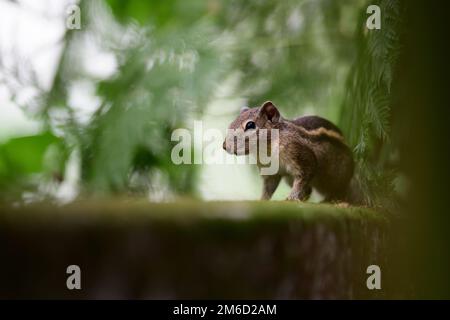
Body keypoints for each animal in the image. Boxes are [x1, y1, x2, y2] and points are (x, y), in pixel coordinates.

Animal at [223, 100, 356, 202]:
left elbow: (304, 176)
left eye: (250, 125)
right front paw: (261, 200)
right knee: (309, 190)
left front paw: (291, 198)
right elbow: (268, 188)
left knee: (339, 189)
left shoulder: (300, 154)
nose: (224, 145)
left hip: (338, 174)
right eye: (231, 124)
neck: (267, 149)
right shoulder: (271, 172)